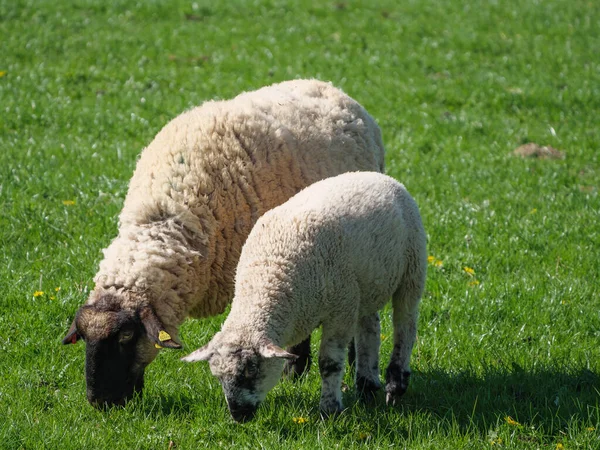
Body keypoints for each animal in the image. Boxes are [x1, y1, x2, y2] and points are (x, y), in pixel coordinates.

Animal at [183, 171, 426, 422]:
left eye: (251, 371)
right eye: (218, 377)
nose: (238, 415)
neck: (269, 273)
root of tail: (377, 176)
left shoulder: (340, 310)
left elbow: (329, 364)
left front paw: (330, 411)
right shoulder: (316, 304)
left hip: (412, 267)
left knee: (405, 326)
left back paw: (395, 385)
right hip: (365, 286)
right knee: (370, 329)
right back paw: (367, 386)